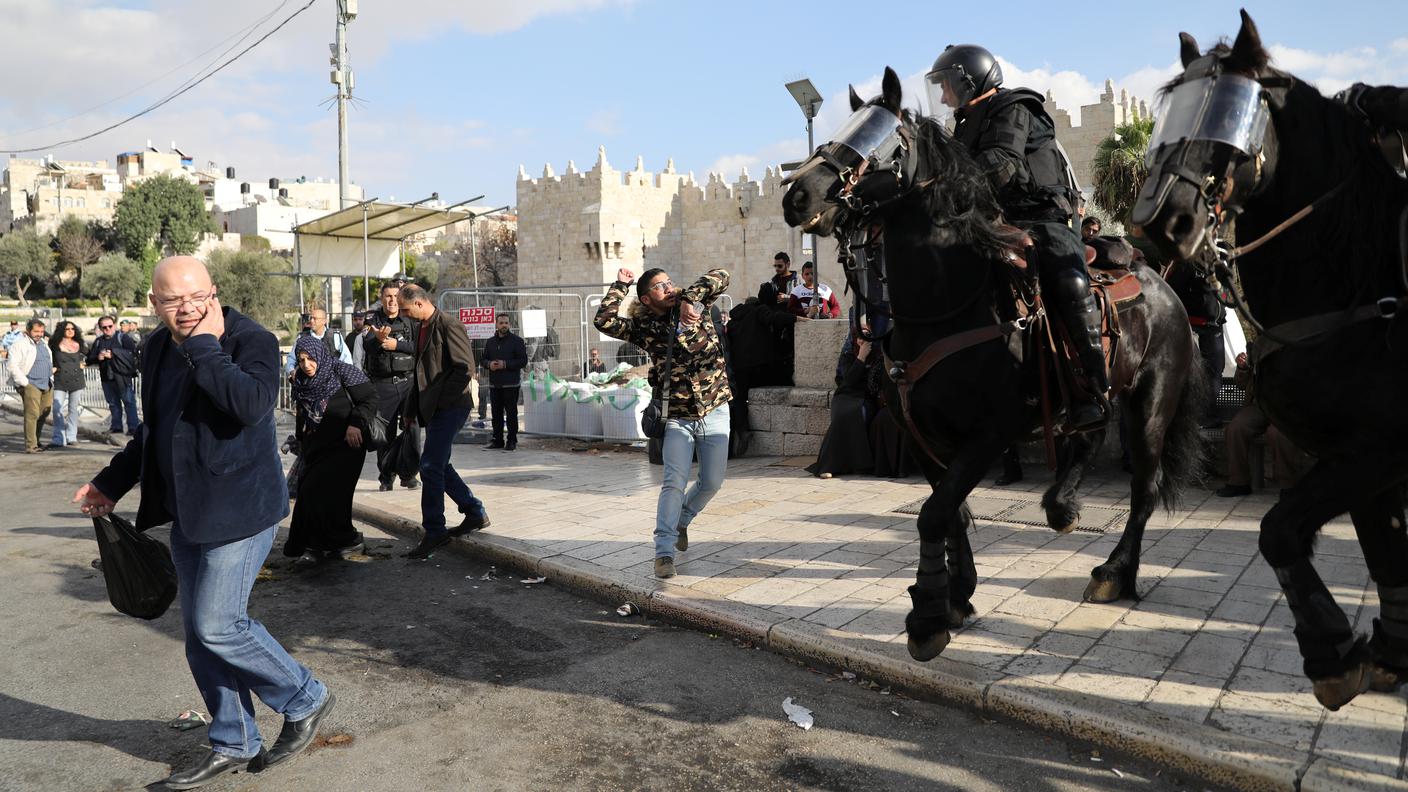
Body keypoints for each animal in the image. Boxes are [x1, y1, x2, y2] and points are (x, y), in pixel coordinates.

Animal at [777, 67, 1205, 659]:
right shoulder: (924, 436)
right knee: (1090, 430)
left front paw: (928, 619)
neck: (945, 302)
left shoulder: (991, 433)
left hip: (1151, 403)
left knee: (1143, 485)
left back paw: (1115, 573)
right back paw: (1062, 506)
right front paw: (956, 594)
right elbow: (949, 511)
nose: (797, 194)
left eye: (884, 139)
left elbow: (934, 513)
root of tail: (1159, 283)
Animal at [1132, 9, 1408, 704]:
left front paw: (1331, 652)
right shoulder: (1364, 459)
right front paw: (1379, 652)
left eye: (1233, 112)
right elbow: (1385, 553)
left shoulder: (1375, 451)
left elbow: (1279, 530)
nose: (1158, 224)